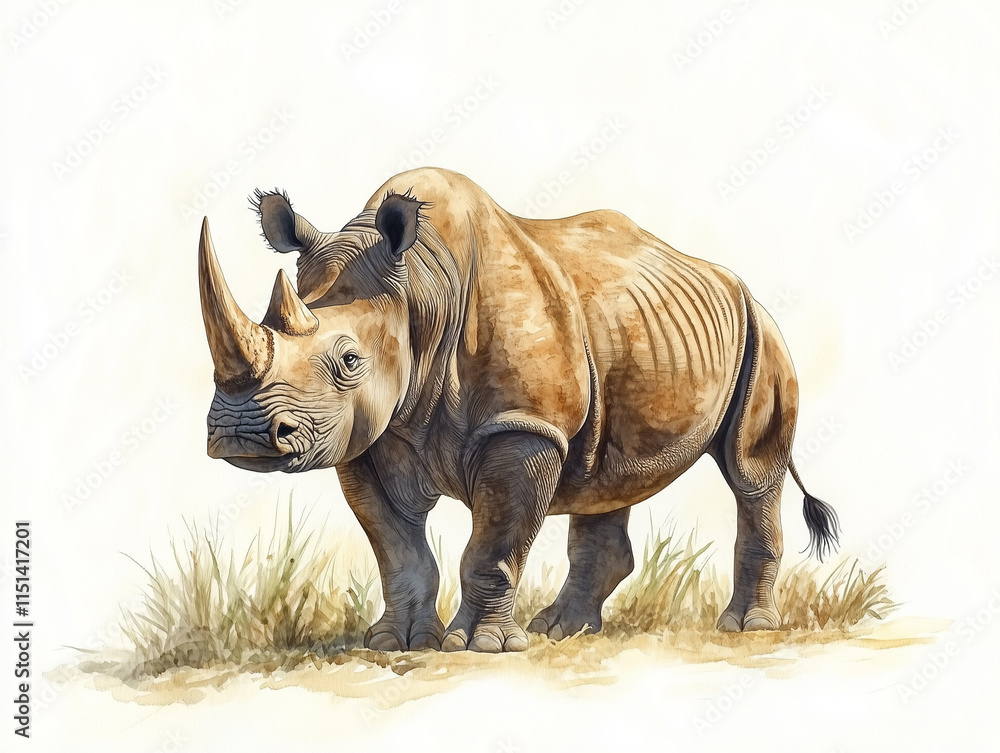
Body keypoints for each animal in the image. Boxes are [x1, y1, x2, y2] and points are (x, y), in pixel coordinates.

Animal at [198, 167, 839, 652]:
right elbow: (397, 547)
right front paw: (393, 642)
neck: (420, 291)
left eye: (349, 359)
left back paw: (743, 628)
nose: (239, 434)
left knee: (750, 473)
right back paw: (562, 631)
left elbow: (494, 542)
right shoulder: (365, 430)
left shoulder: (522, 427)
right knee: (608, 475)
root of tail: (733, 283)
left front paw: (478, 646)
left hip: (761, 334)